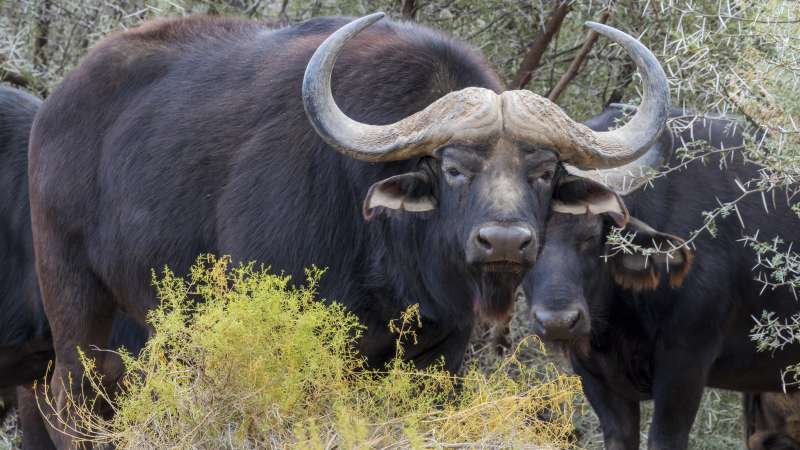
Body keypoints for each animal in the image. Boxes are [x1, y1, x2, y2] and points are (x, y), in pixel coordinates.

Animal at [29, 13, 670, 446]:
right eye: (455, 168)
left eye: (543, 172)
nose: (506, 242)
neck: (388, 259)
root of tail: (56, 106)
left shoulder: (443, 351)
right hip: (74, 295)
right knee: (71, 399)